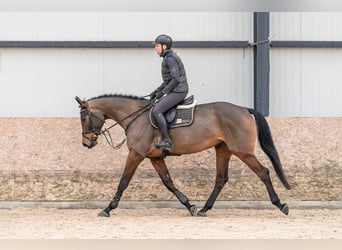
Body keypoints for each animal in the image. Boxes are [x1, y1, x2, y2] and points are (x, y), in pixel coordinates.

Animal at [75, 94, 292, 217]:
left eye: (84, 118)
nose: (87, 143)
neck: (136, 117)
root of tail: (243, 109)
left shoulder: (136, 154)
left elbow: (123, 182)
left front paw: (107, 209)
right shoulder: (155, 157)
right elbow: (168, 182)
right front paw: (190, 206)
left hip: (243, 151)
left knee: (263, 172)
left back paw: (280, 205)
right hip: (223, 149)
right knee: (221, 179)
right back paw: (204, 209)